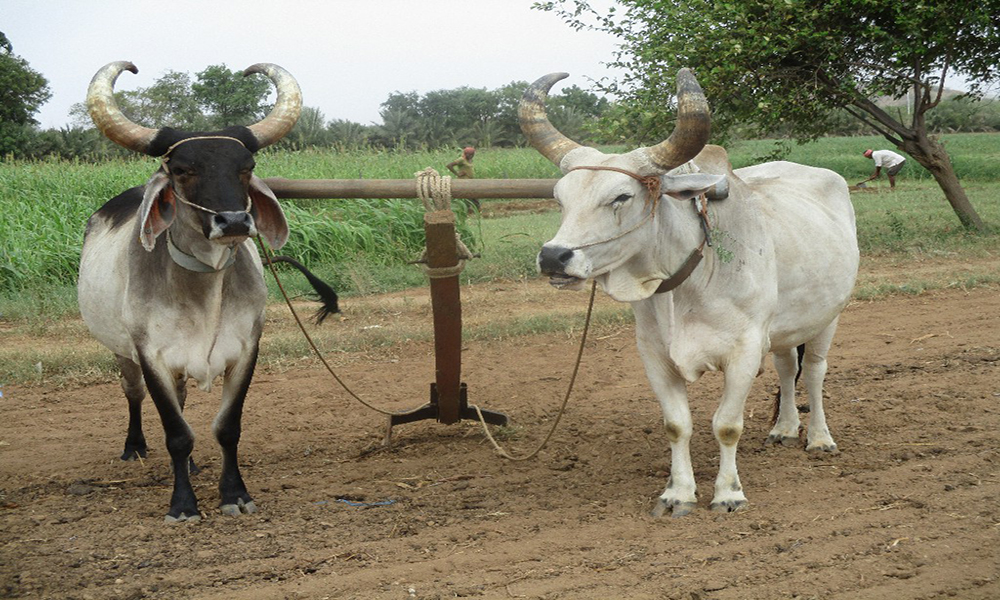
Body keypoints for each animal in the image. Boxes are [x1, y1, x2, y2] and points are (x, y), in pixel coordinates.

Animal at [524, 71, 860, 516]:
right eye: (560, 198)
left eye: (621, 196)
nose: (554, 257)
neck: (689, 282)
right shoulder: (655, 355)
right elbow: (676, 425)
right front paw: (678, 493)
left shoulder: (744, 352)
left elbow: (727, 426)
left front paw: (728, 493)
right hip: (785, 328)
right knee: (788, 368)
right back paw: (785, 429)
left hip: (828, 318)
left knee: (815, 373)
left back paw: (819, 438)